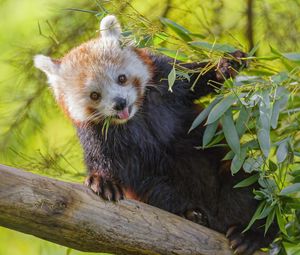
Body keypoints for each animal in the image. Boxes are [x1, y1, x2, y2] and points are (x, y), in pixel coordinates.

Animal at [34, 14, 276, 255]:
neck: (135, 116)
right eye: (94, 95)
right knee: (160, 192)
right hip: (158, 187)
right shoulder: (98, 134)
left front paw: (226, 64)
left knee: (247, 184)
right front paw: (102, 180)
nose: (120, 103)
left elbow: (195, 79)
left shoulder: (165, 79)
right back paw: (192, 214)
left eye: (121, 79)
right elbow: (102, 159)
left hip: (233, 168)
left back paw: (251, 234)